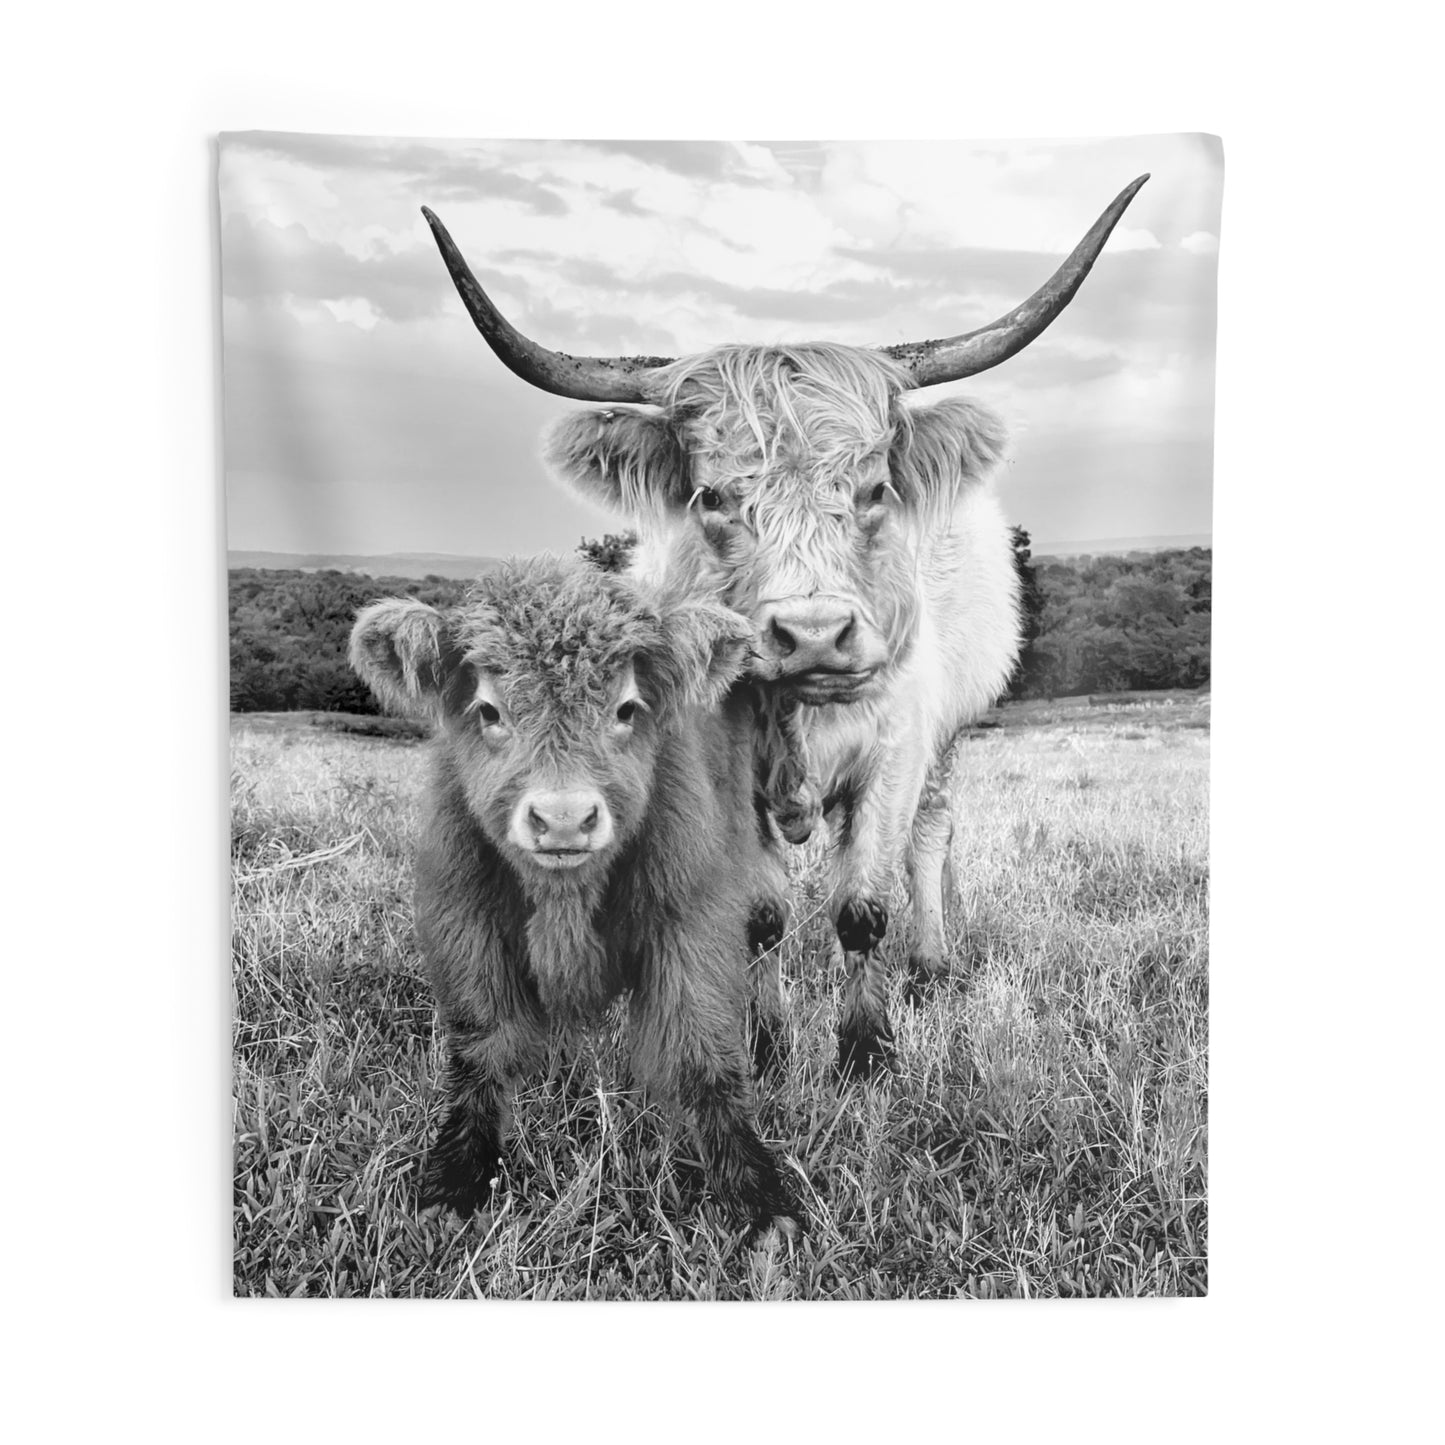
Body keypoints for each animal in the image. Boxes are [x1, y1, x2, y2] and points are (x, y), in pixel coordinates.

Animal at [349, 556, 802, 1240]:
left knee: (770, 920)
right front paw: (454, 1182)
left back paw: (771, 1037)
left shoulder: (691, 919)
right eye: (488, 709)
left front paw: (755, 1197)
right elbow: (480, 1048)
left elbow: (704, 1053)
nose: (563, 819)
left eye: (627, 707)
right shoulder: (463, 917)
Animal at [420, 175, 1147, 1079]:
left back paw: (930, 960)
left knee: (930, 837)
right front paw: (763, 1042)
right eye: (710, 497)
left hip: (948, 739)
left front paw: (866, 1052)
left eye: (874, 489)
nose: (812, 635)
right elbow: (758, 914)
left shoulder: (894, 755)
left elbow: (863, 907)